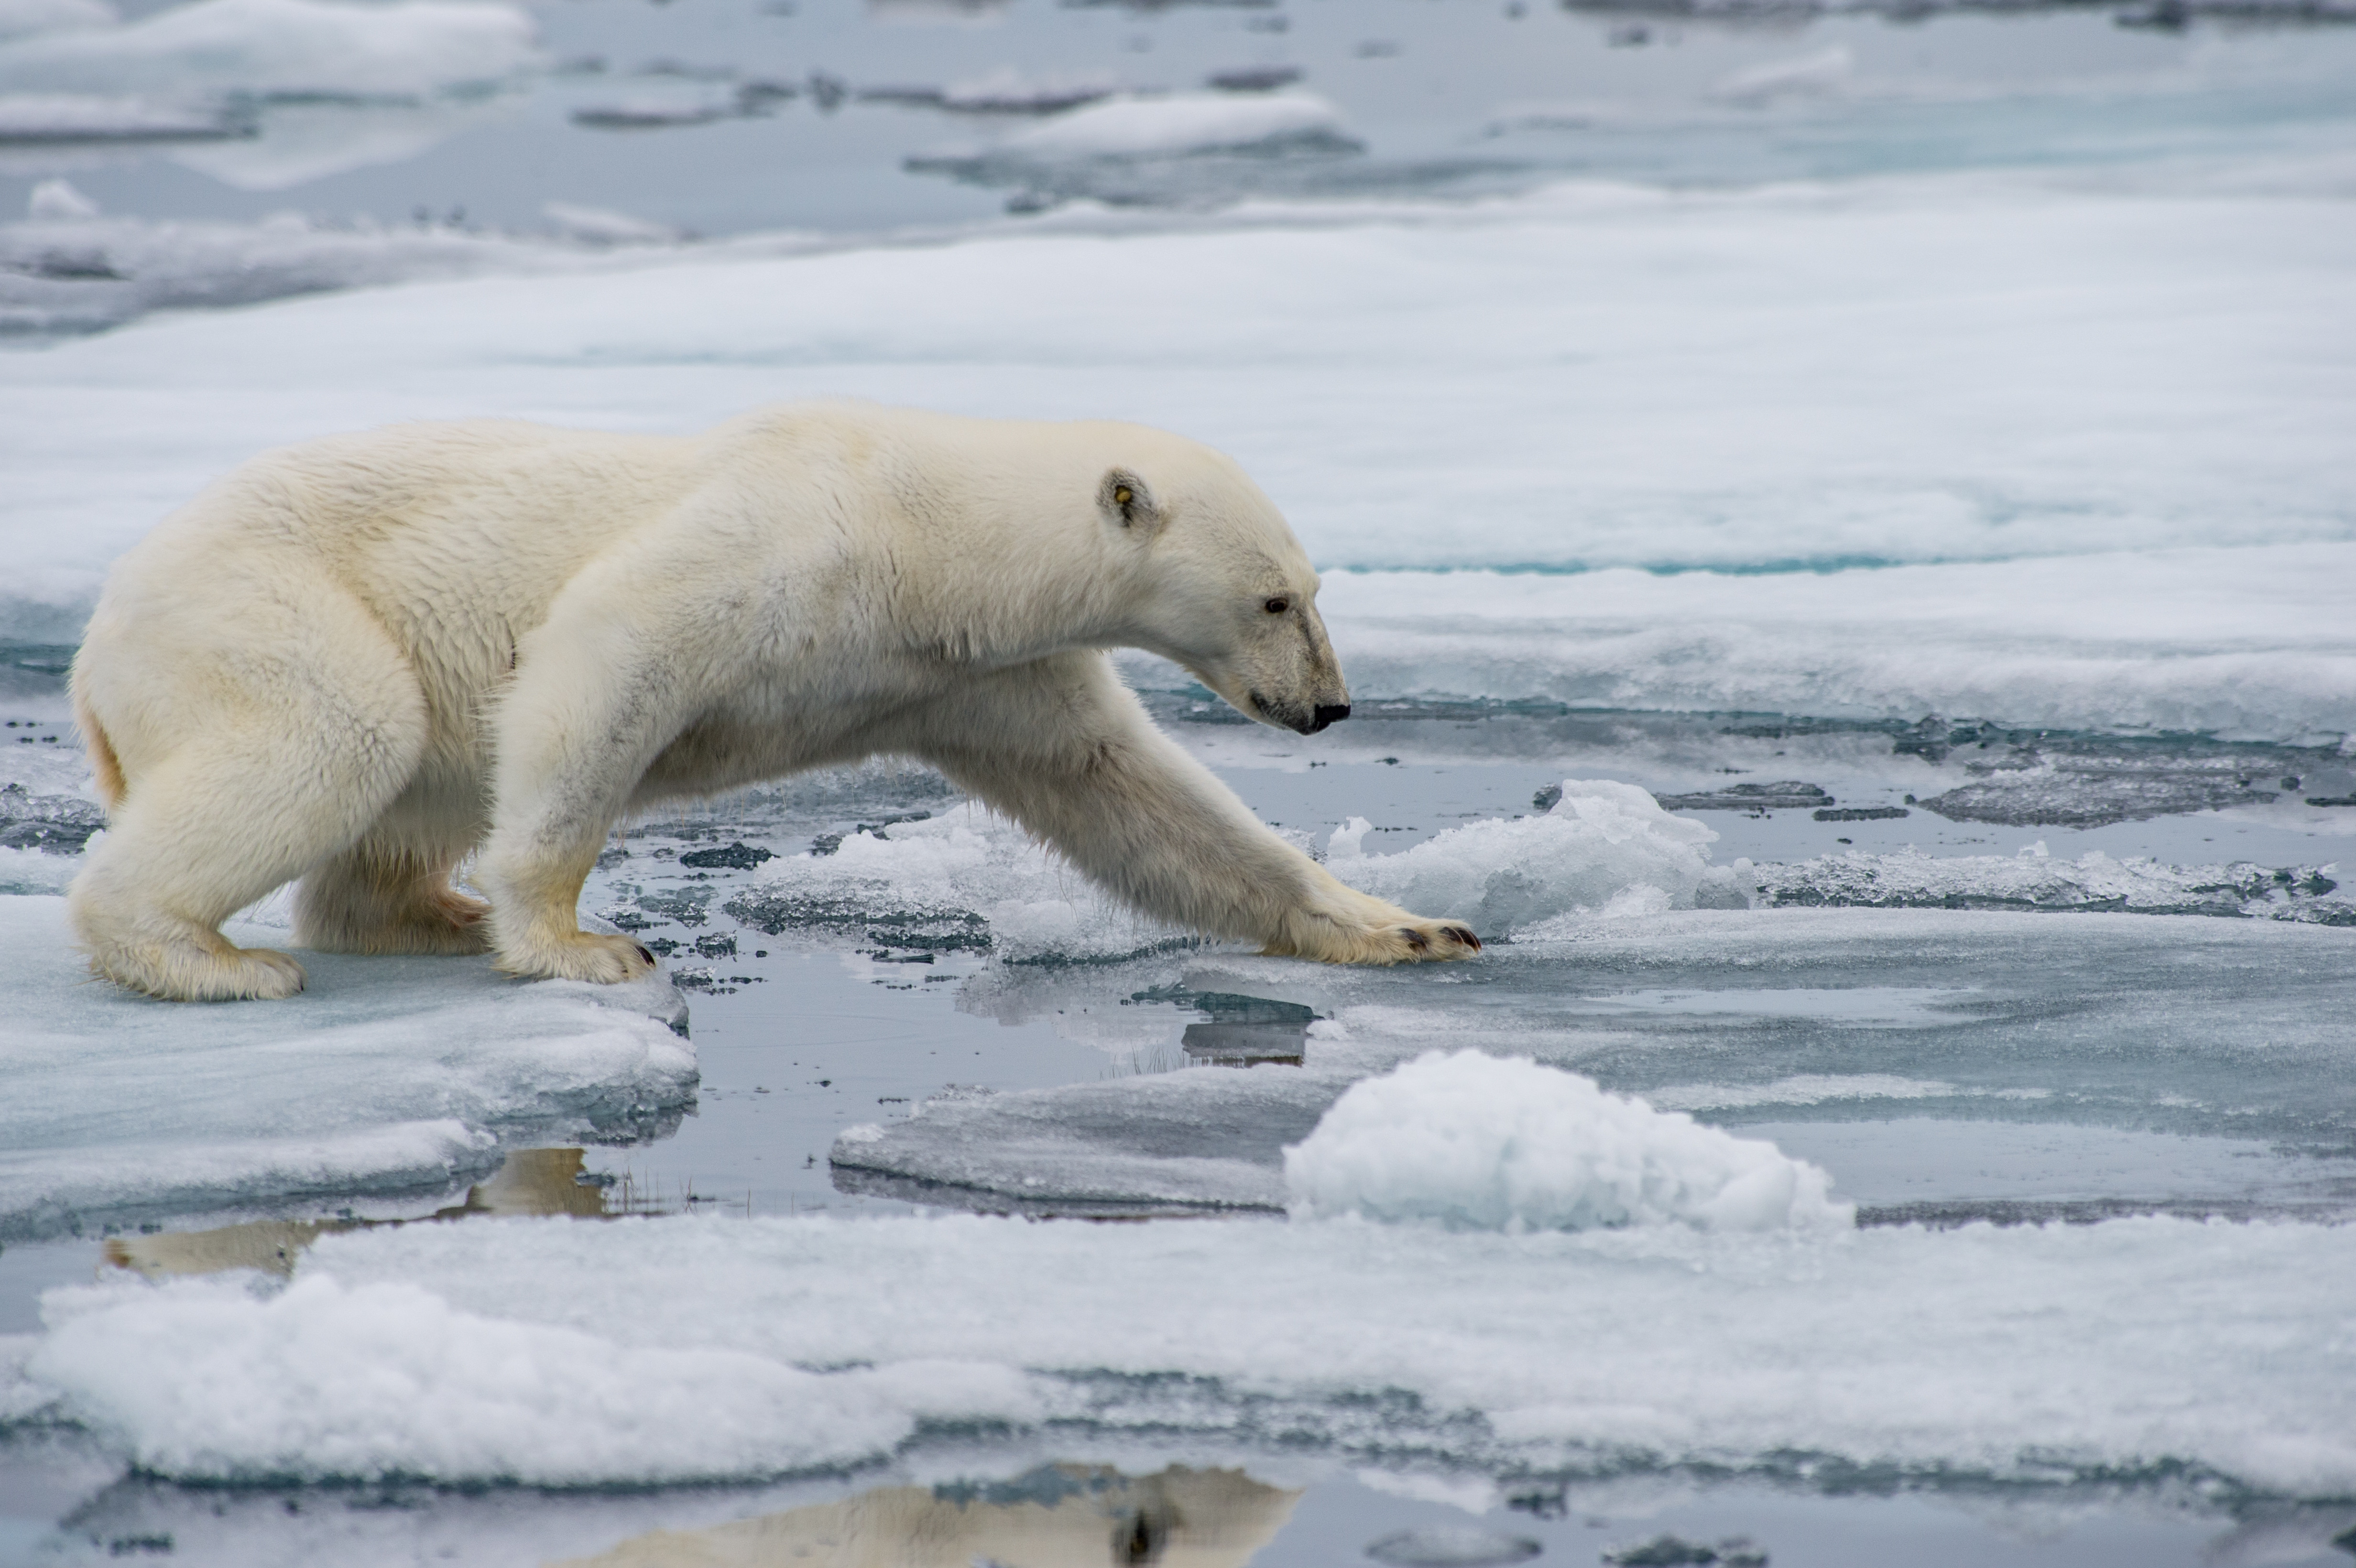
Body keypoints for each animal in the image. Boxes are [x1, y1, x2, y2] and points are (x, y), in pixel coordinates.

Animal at [69, 398, 1470, 993]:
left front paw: (1407, 926)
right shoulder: (785, 547)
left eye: (1311, 587)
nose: (1329, 708)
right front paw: (583, 943)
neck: (931, 535)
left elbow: (1132, 798)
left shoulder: (971, 670)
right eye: (1276, 601)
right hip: (272, 611)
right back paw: (209, 960)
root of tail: (92, 654)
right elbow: (608, 649)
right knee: (342, 733)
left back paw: (428, 915)